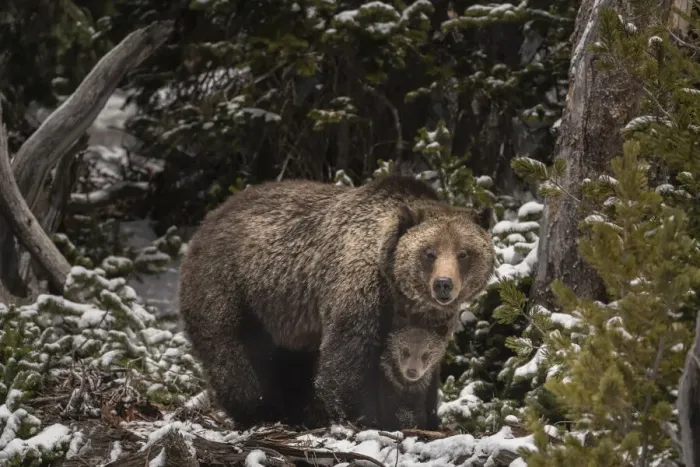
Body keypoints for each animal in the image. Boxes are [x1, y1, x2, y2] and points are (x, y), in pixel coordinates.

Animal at [177, 174, 495, 429]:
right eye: (429, 252)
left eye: (464, 253)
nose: (443, 284)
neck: (399, 293)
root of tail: (209, 219)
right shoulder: (360, 290)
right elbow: (346, 360)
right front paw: (360, 417)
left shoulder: (429, 320)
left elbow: (426, 371)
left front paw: (427, 418)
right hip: (232, 286)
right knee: (234, 355)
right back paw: (261, 412)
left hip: (286, 318)